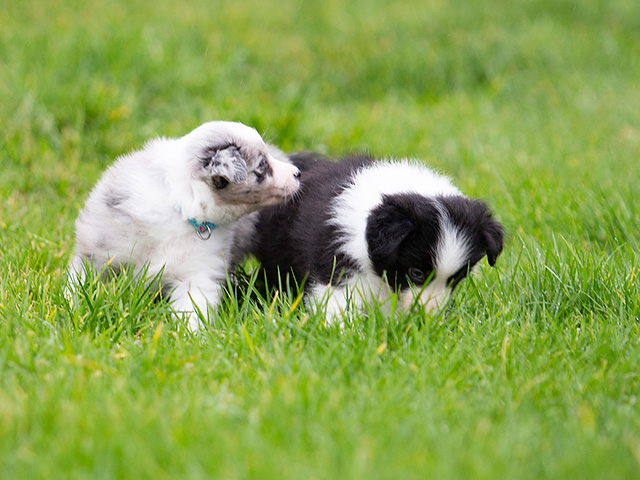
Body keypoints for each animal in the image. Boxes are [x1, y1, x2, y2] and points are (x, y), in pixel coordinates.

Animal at [68, 121, 301, 331]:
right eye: (262, 164)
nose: (298, 172)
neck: (181, 208)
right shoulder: (97, 251)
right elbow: (80, 282)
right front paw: (73, 308)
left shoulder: (198, 273)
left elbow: (193, 309)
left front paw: (190, 339)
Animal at [233, 152, 504, 322]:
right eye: (416, 273)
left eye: (456, 279)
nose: (426, 316)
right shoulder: (334, 257)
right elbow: (336, 299)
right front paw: (343, 332)